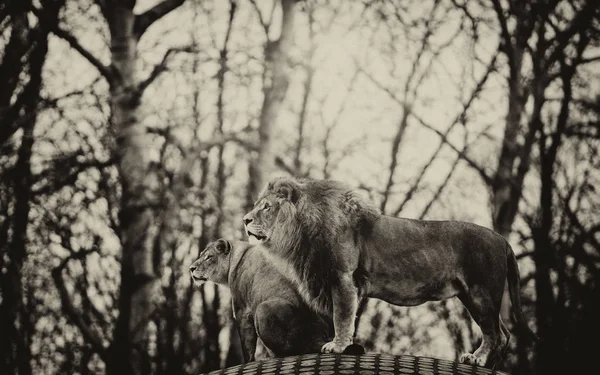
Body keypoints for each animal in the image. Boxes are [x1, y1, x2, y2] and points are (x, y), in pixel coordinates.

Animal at [190, 239, 364, 362]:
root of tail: (317, 334)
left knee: (292, 351)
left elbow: (247, 345)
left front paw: (248, 362)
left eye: (208, 257)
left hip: (263, 308)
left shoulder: (242, 310)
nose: (191, 268)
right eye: (200, 255)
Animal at [244, 178, 540, 368]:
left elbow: (342, 317)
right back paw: (484, 363)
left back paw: (478, 359)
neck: (301, 230)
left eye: (266, 207)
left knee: (496, 334)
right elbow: (335, 318)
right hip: (473, 297)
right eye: (257, 204)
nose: (245, 220)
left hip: (482, 294)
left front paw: (337, 347)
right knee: (503, 334)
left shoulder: (343, 279)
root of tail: (503, 240)